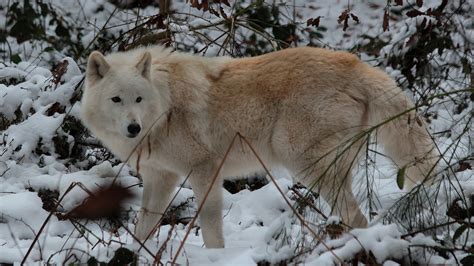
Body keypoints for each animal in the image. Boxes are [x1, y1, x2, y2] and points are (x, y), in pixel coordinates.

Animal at [80, 45, 436, 247]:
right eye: (116, 99)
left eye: (138, 99)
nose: (133, 128)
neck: (165, 107)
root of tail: (359, 66)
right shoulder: (160, 177)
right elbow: (144, 226)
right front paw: (134, 254)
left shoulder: (204, 171)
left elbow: (210, 228)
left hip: (304, 163)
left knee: (358, 218)